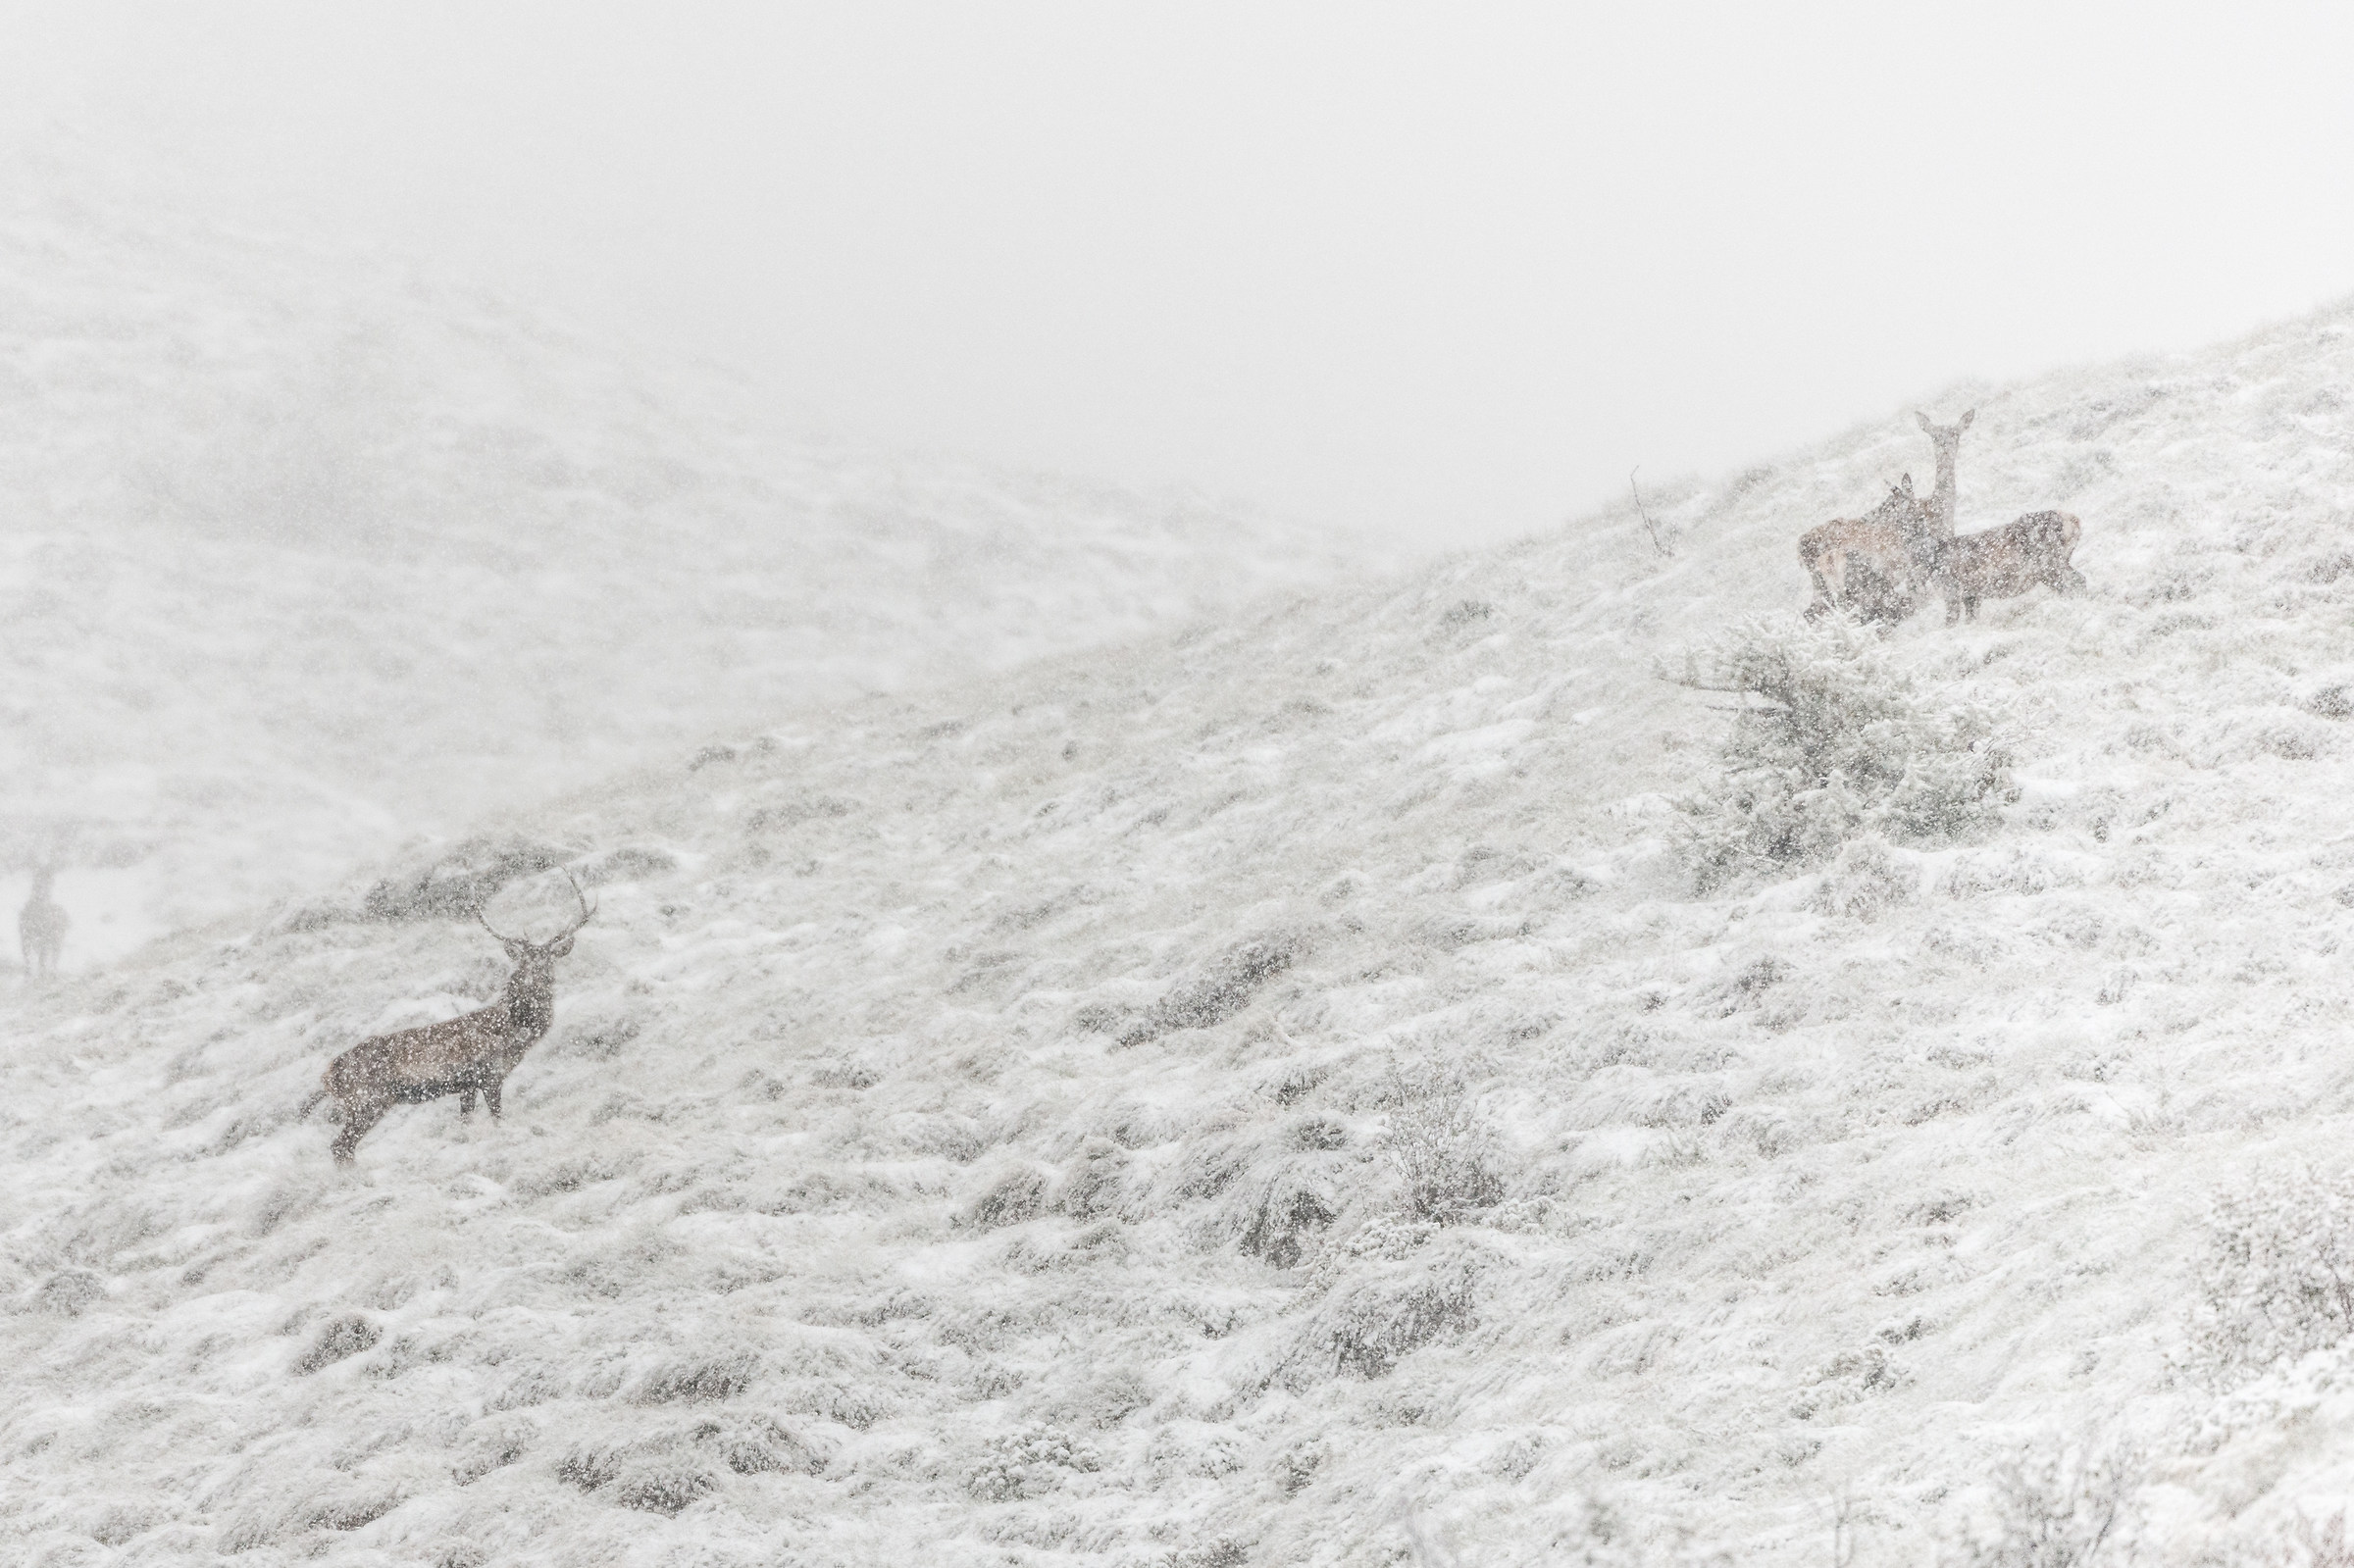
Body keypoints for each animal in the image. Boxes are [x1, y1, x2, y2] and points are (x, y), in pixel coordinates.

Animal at [300, 872, 595, 1166]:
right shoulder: (489, 1074)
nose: (533, 984)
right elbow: (497, 1118)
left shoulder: (467, 1084)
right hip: (369, 1099)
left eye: (548, 965)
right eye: (522, 966)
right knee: (341, 1145)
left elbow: (465, 1121)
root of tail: (328, 1077)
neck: (513, 1034)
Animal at [1927, 509, 2086, 623]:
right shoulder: (1972, 594)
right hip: (2060, 563)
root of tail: (2073, 521)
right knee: (2079, 580)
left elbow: (1951, 620)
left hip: (2049, 566)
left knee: (2071, 584)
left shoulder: (1952, 590)